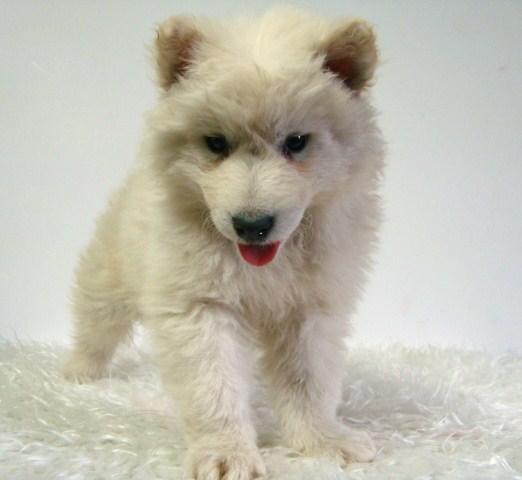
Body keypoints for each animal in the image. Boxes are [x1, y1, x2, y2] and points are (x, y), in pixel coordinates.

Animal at [63, 8, 384, 480]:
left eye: (296, 142)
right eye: (215, 143)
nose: (252, 225)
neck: (265, 265)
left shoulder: (309, 309)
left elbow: (309, 382)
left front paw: (322, 442)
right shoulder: (200, 308)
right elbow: (213, 388)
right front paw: (226, 454)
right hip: (109, 277)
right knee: (95, 326)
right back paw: (78, 372)